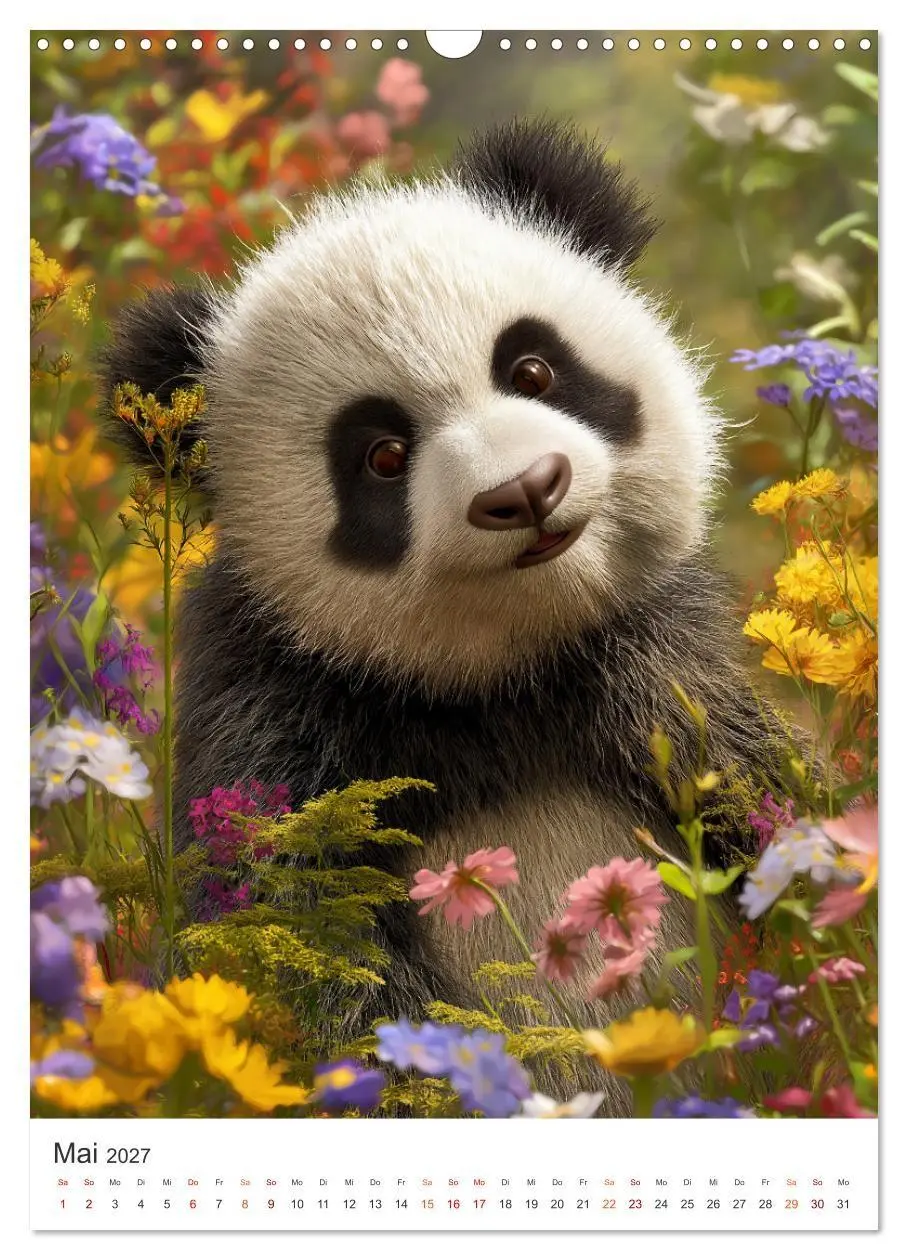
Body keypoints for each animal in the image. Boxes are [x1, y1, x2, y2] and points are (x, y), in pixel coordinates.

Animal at [102, 120, 790, 1106]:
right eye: (383, 454)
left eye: (532, 367)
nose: (526, 491)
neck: (496, 682)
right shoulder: (278, 717)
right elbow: (310, 947)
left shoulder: (657, 668)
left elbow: (759, 798)